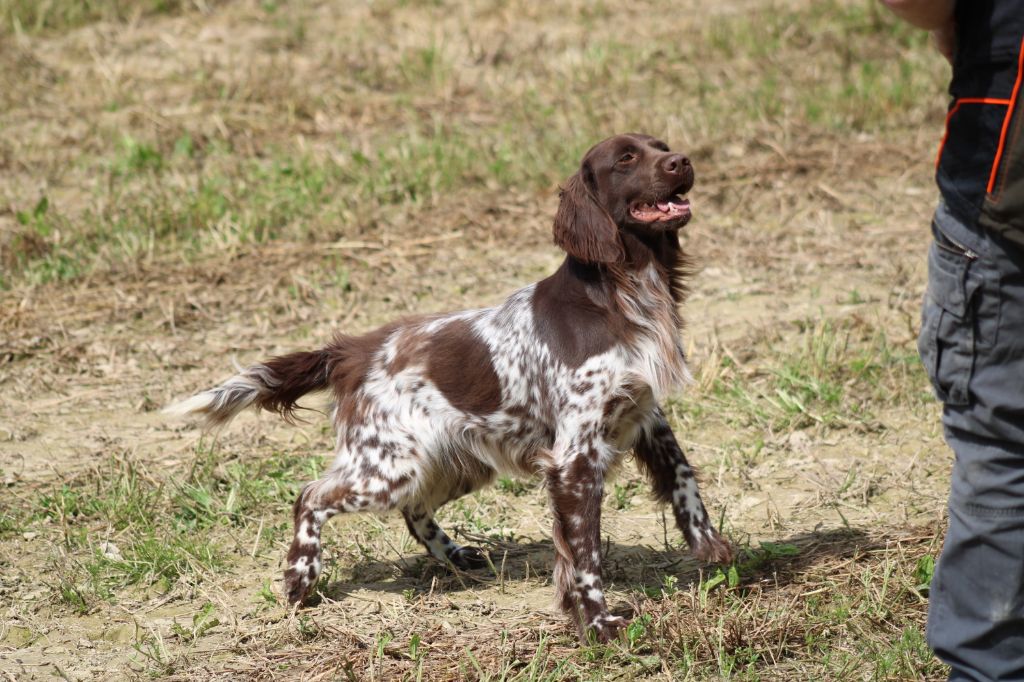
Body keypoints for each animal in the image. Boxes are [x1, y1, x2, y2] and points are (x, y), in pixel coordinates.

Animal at [165, 133, 729, 643]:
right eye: (627, 158)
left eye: (662, 146)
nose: (683, 161)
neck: (621, 293)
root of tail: (354, 350)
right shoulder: (574, 457)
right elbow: (584, 554)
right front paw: (596, 624)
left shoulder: (644, 415)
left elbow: (683, 478)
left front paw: (710, 547)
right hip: (389, 466)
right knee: (311, 495)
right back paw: (301, 576)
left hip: (454, 462)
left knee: (413, 510)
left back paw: (455, 554)